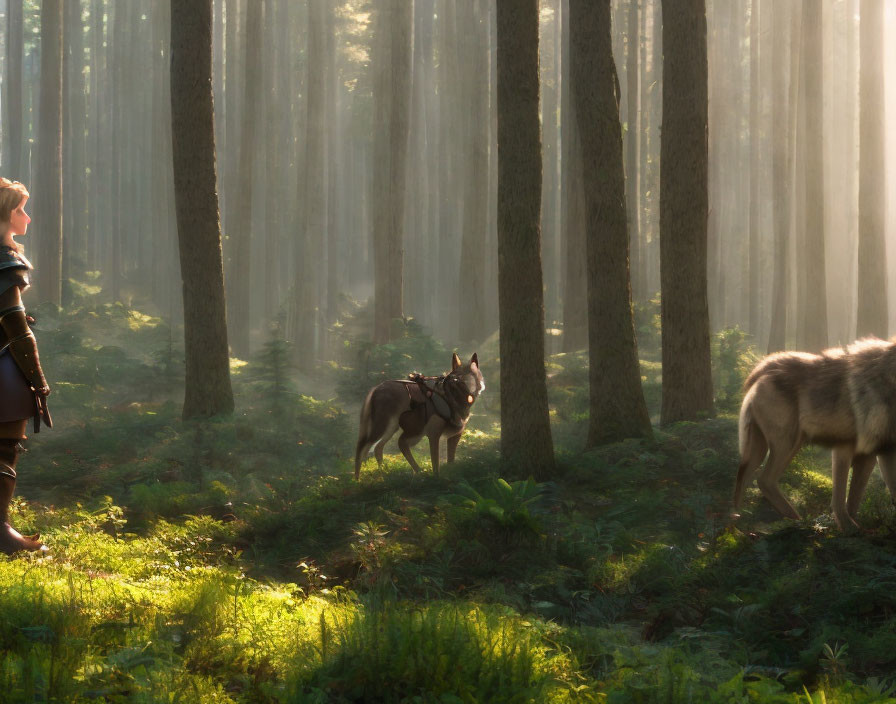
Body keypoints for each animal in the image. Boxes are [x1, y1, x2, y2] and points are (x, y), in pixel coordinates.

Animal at [356, 352, 484, 478]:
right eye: (455, 376)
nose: (453, 379)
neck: (451, 398)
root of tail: (377, 388)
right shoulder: (433, 435)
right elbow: (435, 464)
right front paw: (436, 479)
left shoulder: (454, 436)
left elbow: (450, 462)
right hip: (391, 431)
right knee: (362, 449)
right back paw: (357, 479)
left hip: (398, 430)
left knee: (381, 447)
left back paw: (388, 473)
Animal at [732, 336, 896, 528]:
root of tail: (763, 368)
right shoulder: (844, 447)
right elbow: (840, 498)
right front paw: (848, 528)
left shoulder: (876, 454)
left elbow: (856, 499)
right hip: (787, 444)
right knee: (763, 479)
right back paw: (795, 520)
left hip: (770, 448)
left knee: (744, 478)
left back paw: (739, 521)